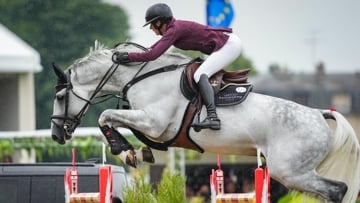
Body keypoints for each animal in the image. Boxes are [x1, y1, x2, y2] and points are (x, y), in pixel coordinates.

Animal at [50, 41, 360, 203]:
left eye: (61, 96)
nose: (56, 135)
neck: (141, 75)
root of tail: (319, 114)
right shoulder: (152, 125)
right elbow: (121, 124)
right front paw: (137, 151)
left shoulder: (155, 123)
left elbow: (106, 117)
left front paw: (124, 150)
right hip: (297, 173)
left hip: (290, 171)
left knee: (337, 190)